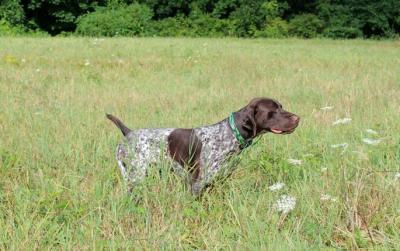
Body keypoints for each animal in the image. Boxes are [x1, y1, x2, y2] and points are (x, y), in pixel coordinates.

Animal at [107, 97, 300, 195]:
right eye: (273, 111)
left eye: (282, 107)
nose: (298, 118)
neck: (228, 134)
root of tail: (128, 133)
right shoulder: (196, 185)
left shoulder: (214, 183)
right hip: (135, 176)